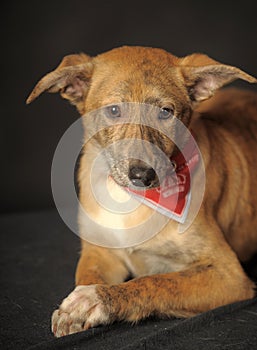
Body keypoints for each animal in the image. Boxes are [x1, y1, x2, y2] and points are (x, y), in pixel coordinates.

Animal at [26, 45, 256, 336]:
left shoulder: (229, 274)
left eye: (166, 112)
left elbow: (156, 282)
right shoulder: (98, 251)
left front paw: (96, 299)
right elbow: (86, 276)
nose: (143, 175)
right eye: (114, 110)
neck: (131, 201)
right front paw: (78, 303)